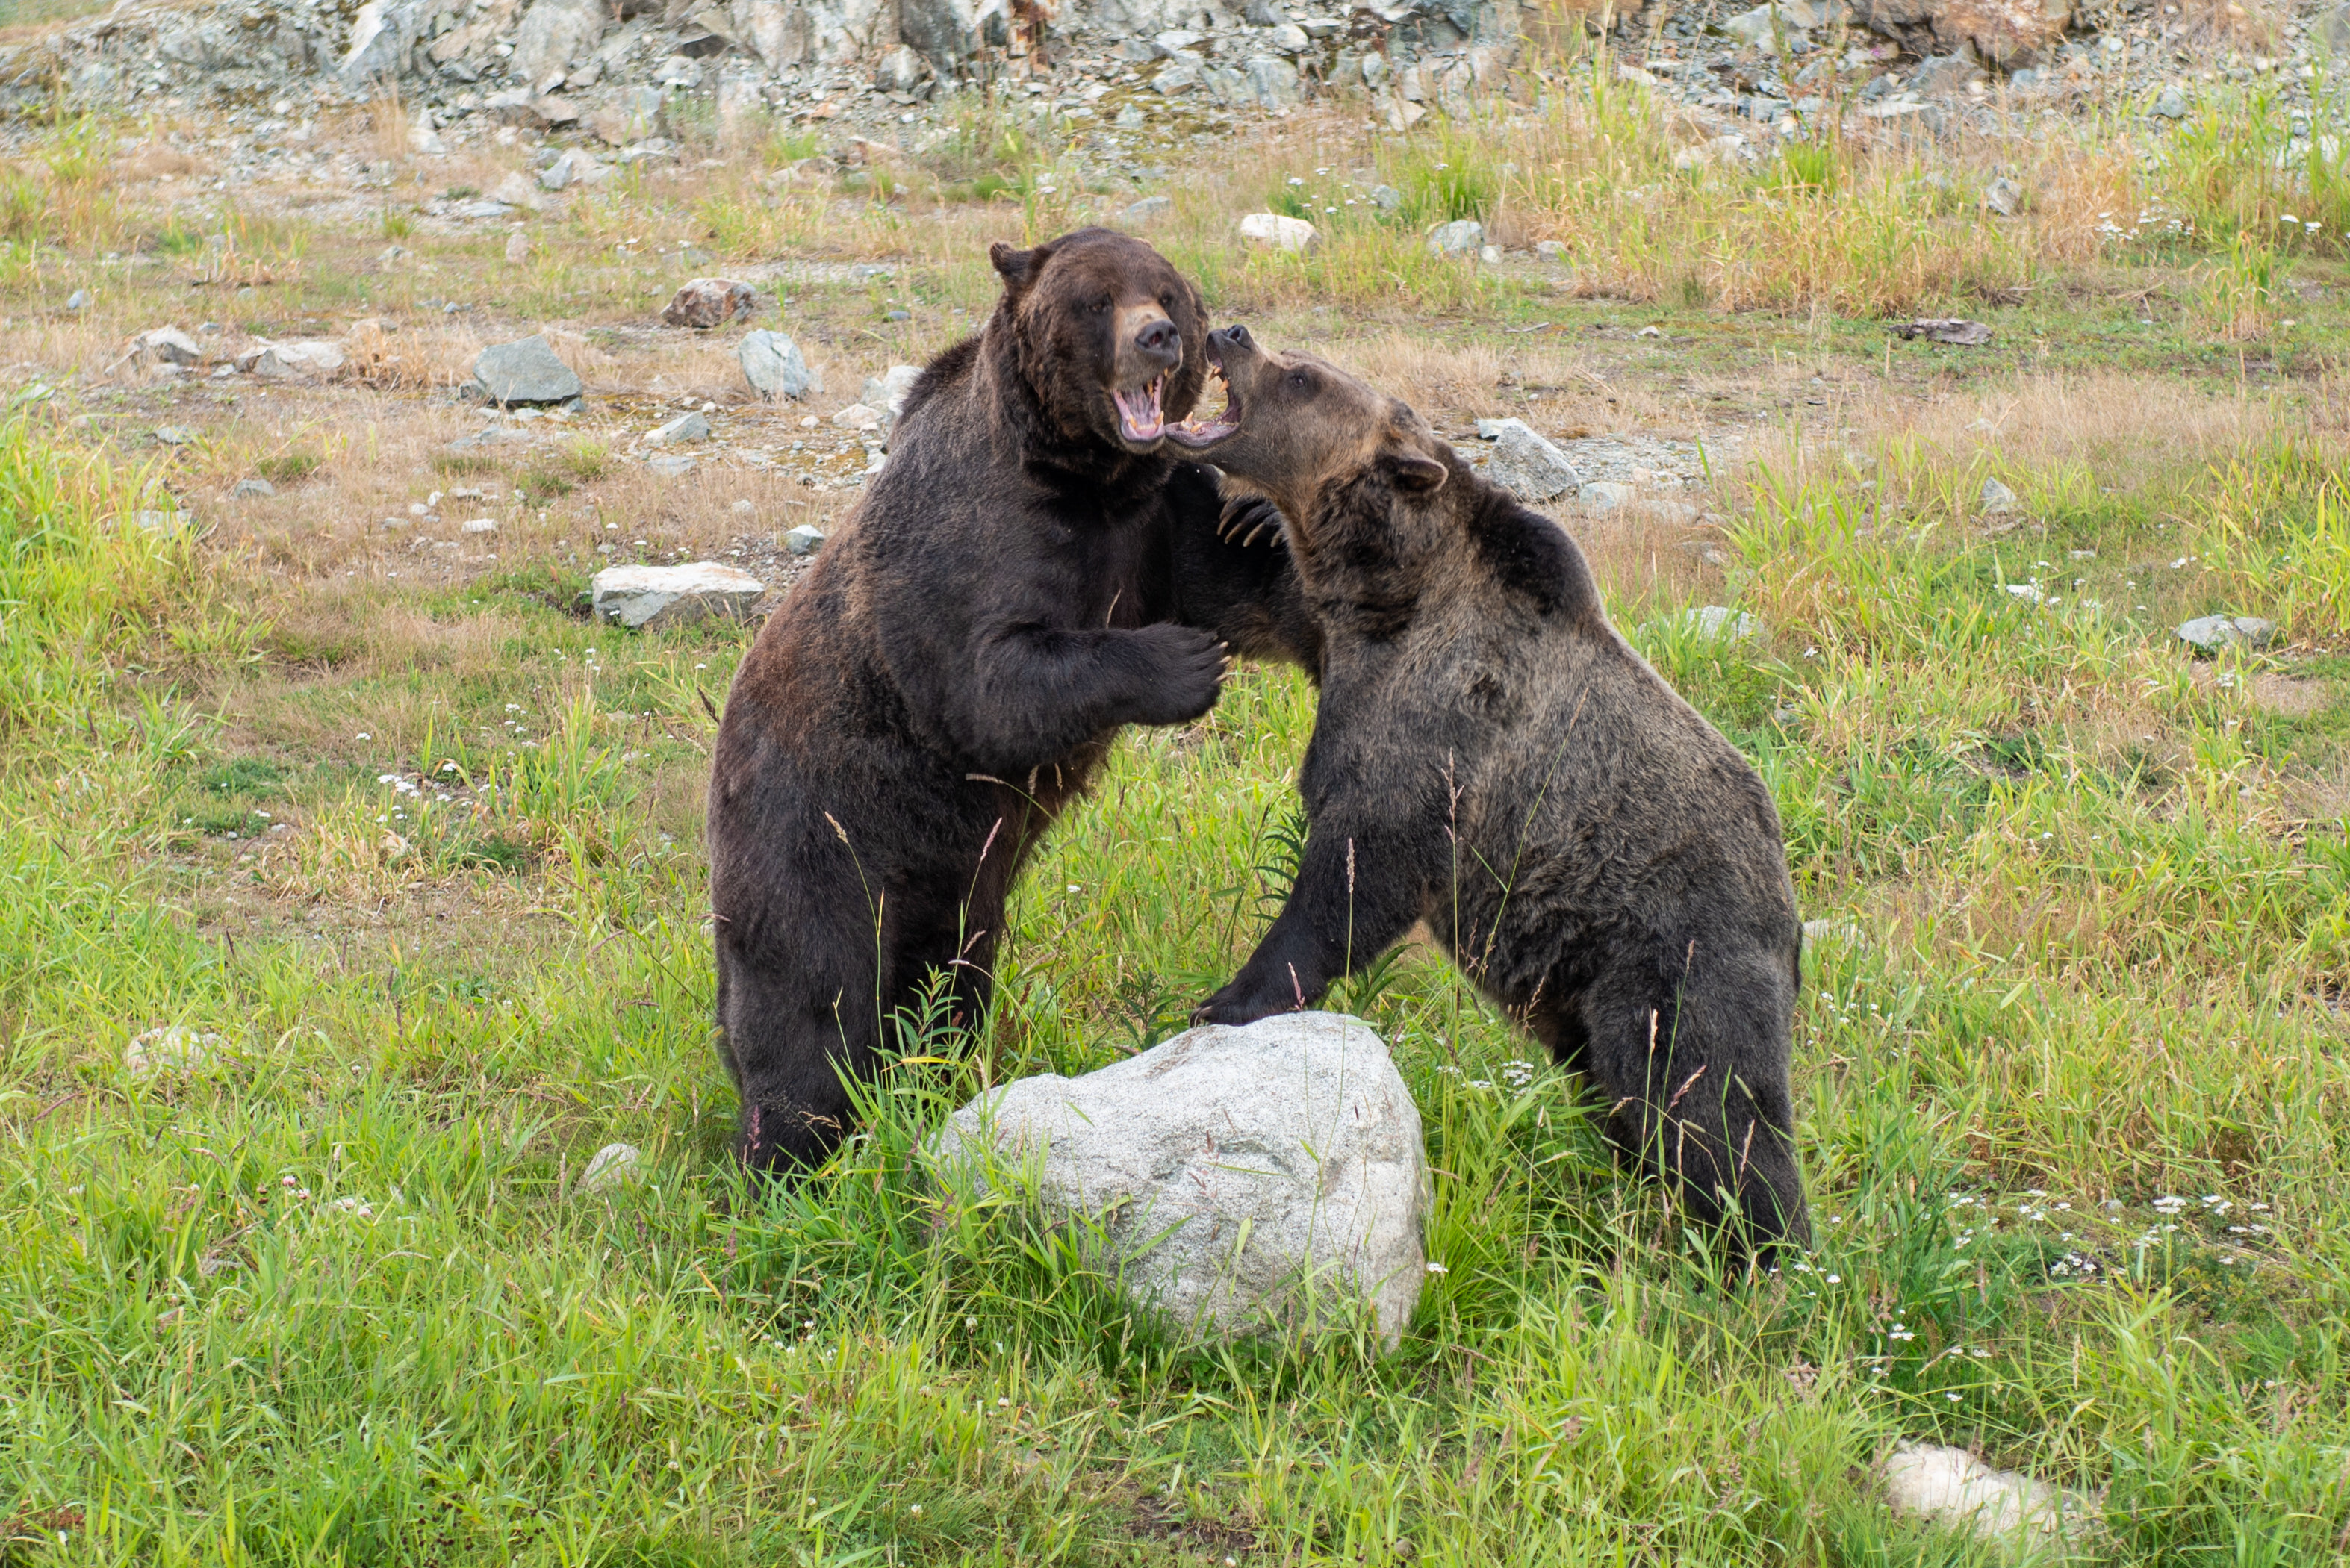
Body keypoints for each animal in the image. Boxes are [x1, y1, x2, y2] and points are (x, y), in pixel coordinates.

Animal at [705, 230, 1316, 1166]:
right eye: (1098, 301)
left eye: (1166, 292)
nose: (1159, 339)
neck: (1088, 478)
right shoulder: (972, 531)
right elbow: (986, 683)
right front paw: (1182, 661)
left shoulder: (1153, 523)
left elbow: (1238, 577)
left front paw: (1265, 523)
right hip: (817, 836)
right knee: (811, 999)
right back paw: (788, 1154)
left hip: (958, 888)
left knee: (948, 986)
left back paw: (933, 1081)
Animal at [1184, 324, 1804, 1260]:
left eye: (1302, 377)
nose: (1231, 331)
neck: (1395, 587)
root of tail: (1792, 912)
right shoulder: (1344, 639)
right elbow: (1272, 612)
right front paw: (1252, 518)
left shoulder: (1438, 727)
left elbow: (1352, 876)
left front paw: (1228, 998)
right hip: (1586, 996)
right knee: (1628, 1097)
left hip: (1677, 959)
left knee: (1708, 1107)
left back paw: (1761, 1250)